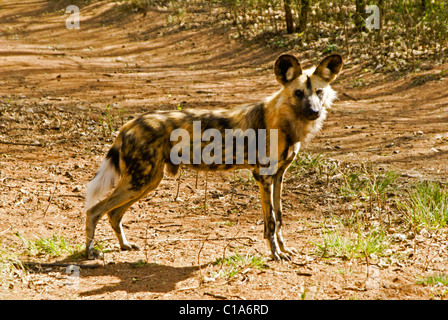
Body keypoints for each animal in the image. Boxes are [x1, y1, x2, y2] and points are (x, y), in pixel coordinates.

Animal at [84, 53, 344, 262]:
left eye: (319, 92)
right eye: (298, 93)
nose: (314, 111)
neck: (285, 123)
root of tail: (128, 124)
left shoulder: (278, 177)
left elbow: (279, 218)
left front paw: (284, 249)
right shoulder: (263, 177)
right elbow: (270, 221)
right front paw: (275, 254)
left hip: (147, 182)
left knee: (113, 213)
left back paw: (124, 245)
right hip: (139, 182)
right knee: (94, 210)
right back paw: (90, 252)